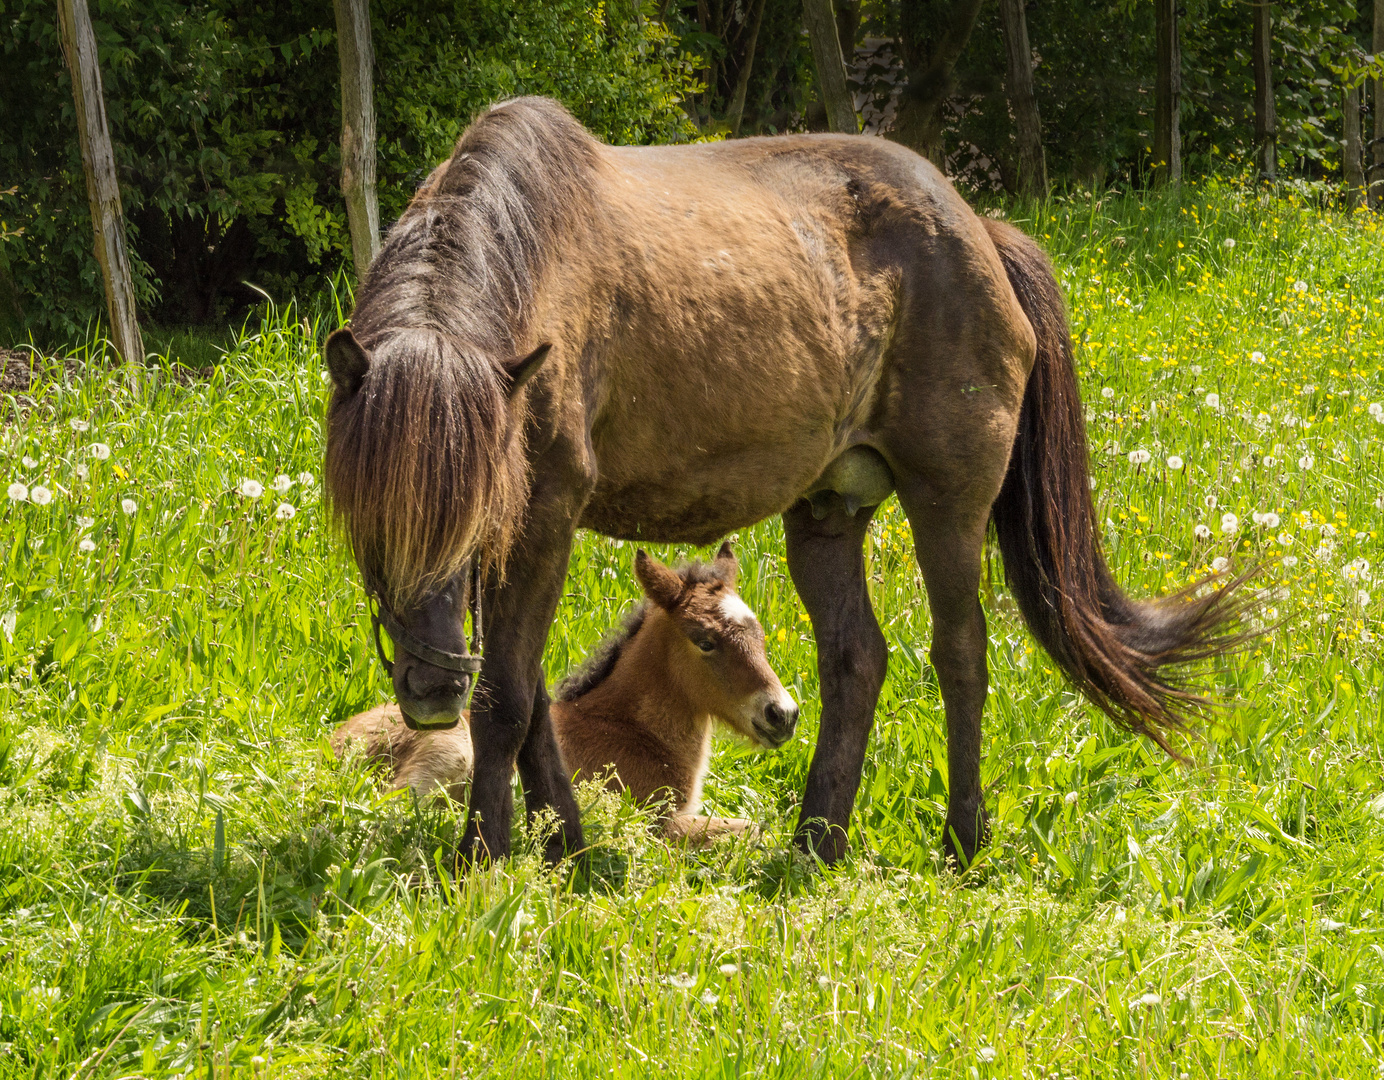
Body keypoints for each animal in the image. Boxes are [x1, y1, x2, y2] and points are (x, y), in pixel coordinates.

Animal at [330, 545, 802, 841]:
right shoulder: (650, 819)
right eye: (704, 641)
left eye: (760, 634)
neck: (632, 730)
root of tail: (336, 746)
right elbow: (753, 832)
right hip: (449, 755)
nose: (783, 714)